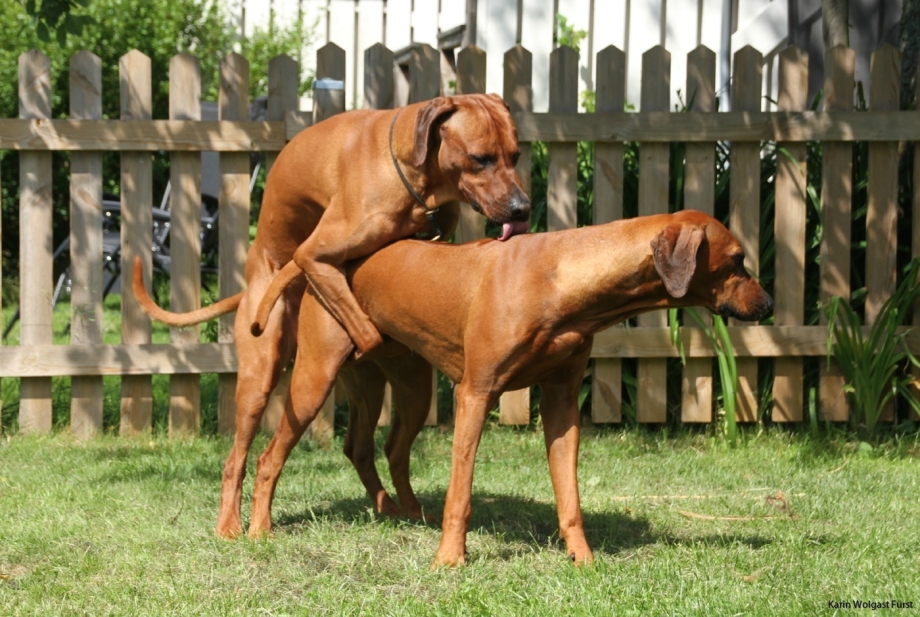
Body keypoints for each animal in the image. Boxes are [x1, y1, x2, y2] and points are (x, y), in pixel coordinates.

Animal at [132, 92, 528, 540]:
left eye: (515, 155)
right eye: (481, 159)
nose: (523, 209)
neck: (411, 168)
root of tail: (247, 287)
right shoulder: (313, 256)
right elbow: (365, 329)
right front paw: (370, 336)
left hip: (408, 391)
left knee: (374, 448)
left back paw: (399, 508)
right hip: (267, 378)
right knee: (244, 457)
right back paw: (236, 525)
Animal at [234, 209, 772, 564]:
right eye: (738, 259)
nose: (768, 305)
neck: (565, 280)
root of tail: (323, 262)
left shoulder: (561, 403)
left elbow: (570, 496)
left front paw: (582, 557)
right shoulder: (475, 395)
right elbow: (461, 494)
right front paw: (449, 560)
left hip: (408, 385)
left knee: (379, 447)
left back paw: (405, 511)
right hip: (314, 380)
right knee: (269, 457)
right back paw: (258, 529)